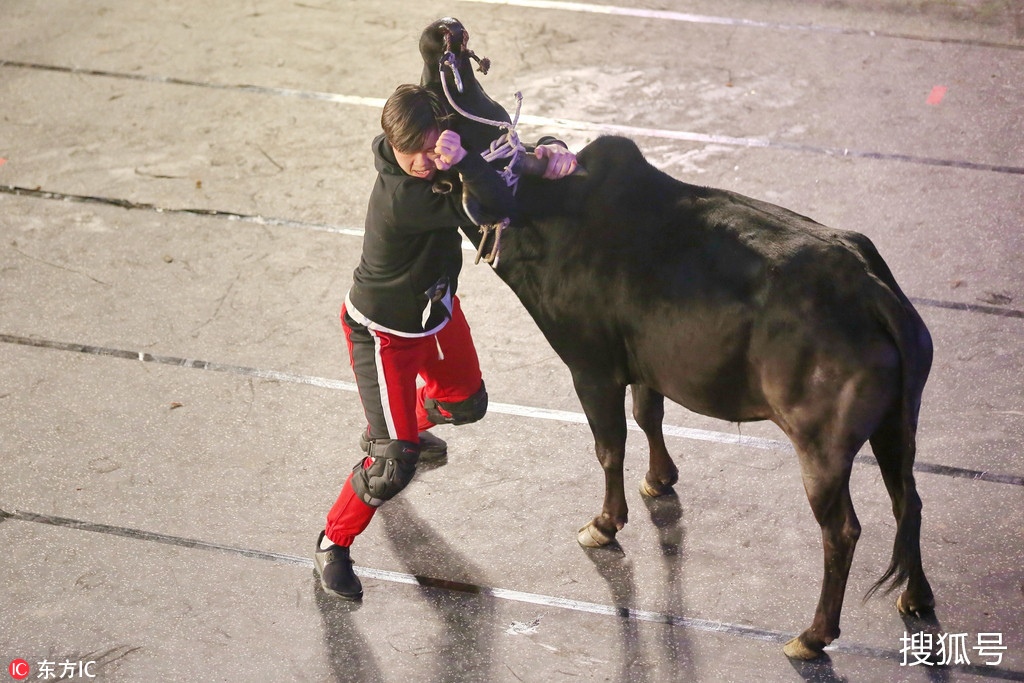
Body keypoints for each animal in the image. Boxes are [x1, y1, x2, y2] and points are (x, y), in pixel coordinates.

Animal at [421, 17, 937, 655]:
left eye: (447, 114)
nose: (444, 34)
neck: (550, 210)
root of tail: (869, 287)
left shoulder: (590, 366)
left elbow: (609, 443)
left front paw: (604, 522)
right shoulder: (646, 361)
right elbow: (649, 414)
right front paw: (659, 479)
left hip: (822, 446)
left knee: (843, 529)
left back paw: (814, 634)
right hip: (897, 423)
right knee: (908, 498)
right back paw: (916, 597)